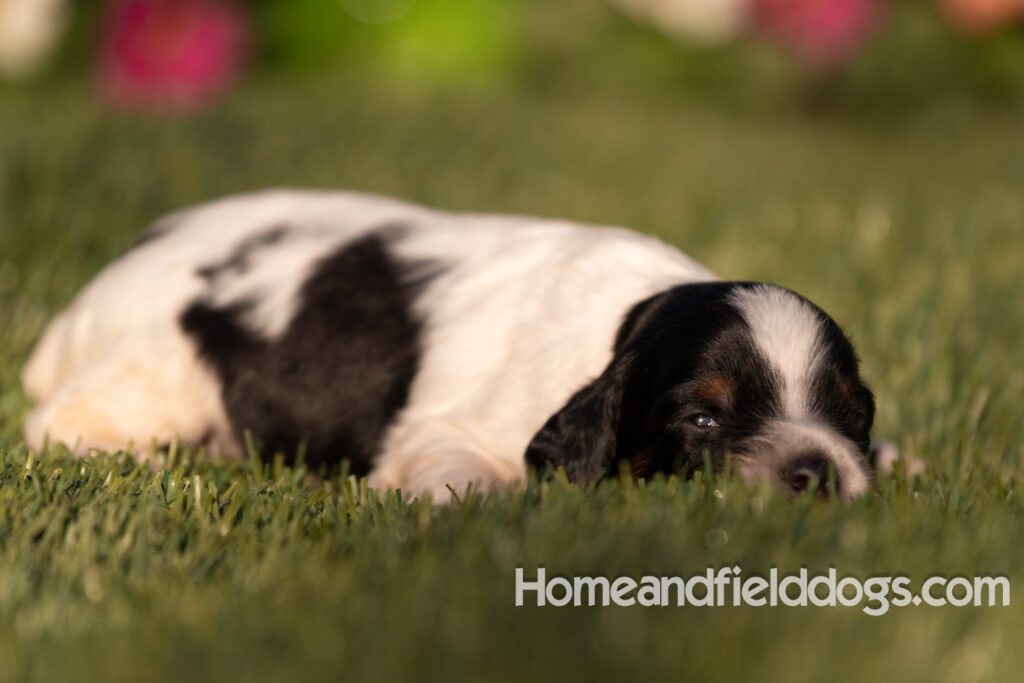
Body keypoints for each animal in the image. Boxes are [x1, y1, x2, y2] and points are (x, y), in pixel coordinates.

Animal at [19, 189, 876, 499]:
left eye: (853, 415)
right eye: (702, 420)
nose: (817, 476)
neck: (621, 326)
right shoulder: (449, 426)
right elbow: (456, 472)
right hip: (160, 366)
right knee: (60, 423)